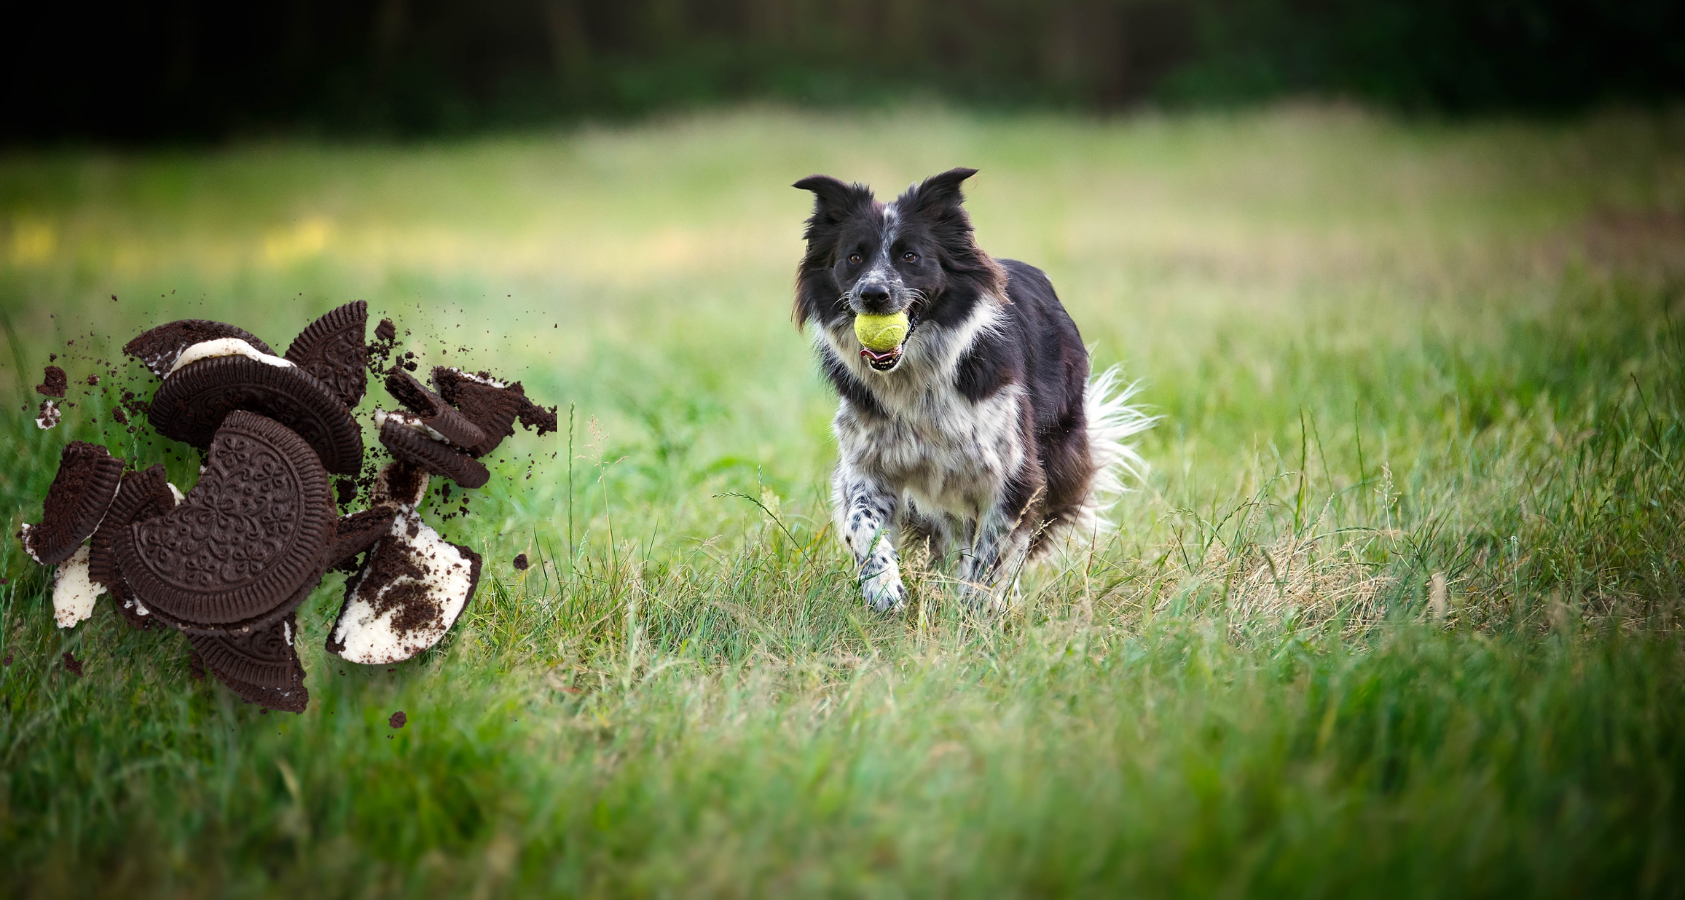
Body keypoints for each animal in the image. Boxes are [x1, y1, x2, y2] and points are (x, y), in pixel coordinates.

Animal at [795, 167, 1152, 613]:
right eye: (853, 257)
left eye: (911, 256)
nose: (873, 294)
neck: (917, 381)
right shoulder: (868, 464)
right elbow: (862, 522)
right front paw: (883, 588)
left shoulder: (1013, 473)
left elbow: (993, 552)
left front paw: (975, 612)